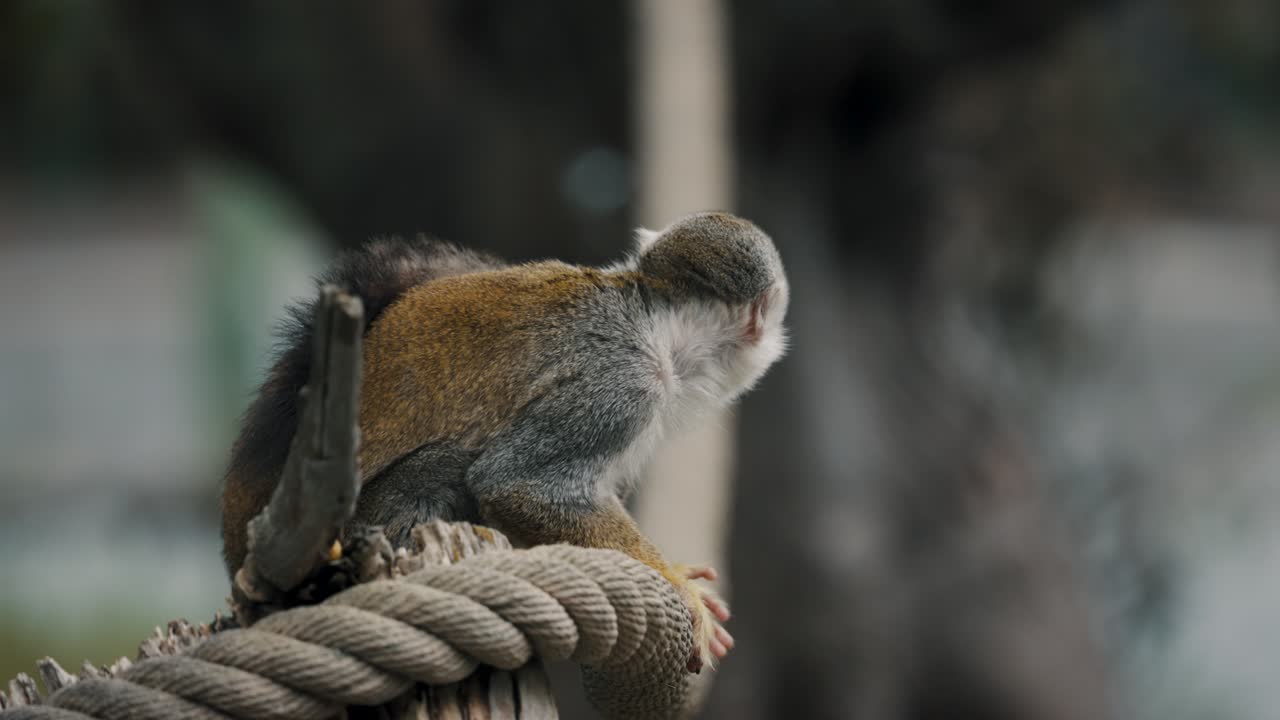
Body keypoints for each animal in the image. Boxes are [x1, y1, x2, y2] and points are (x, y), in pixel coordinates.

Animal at [220, 211, 789, 672]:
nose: (772, 338)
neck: (657, 327)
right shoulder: (624, 381)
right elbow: (517, 484)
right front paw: (677, 582)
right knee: (450, 464)